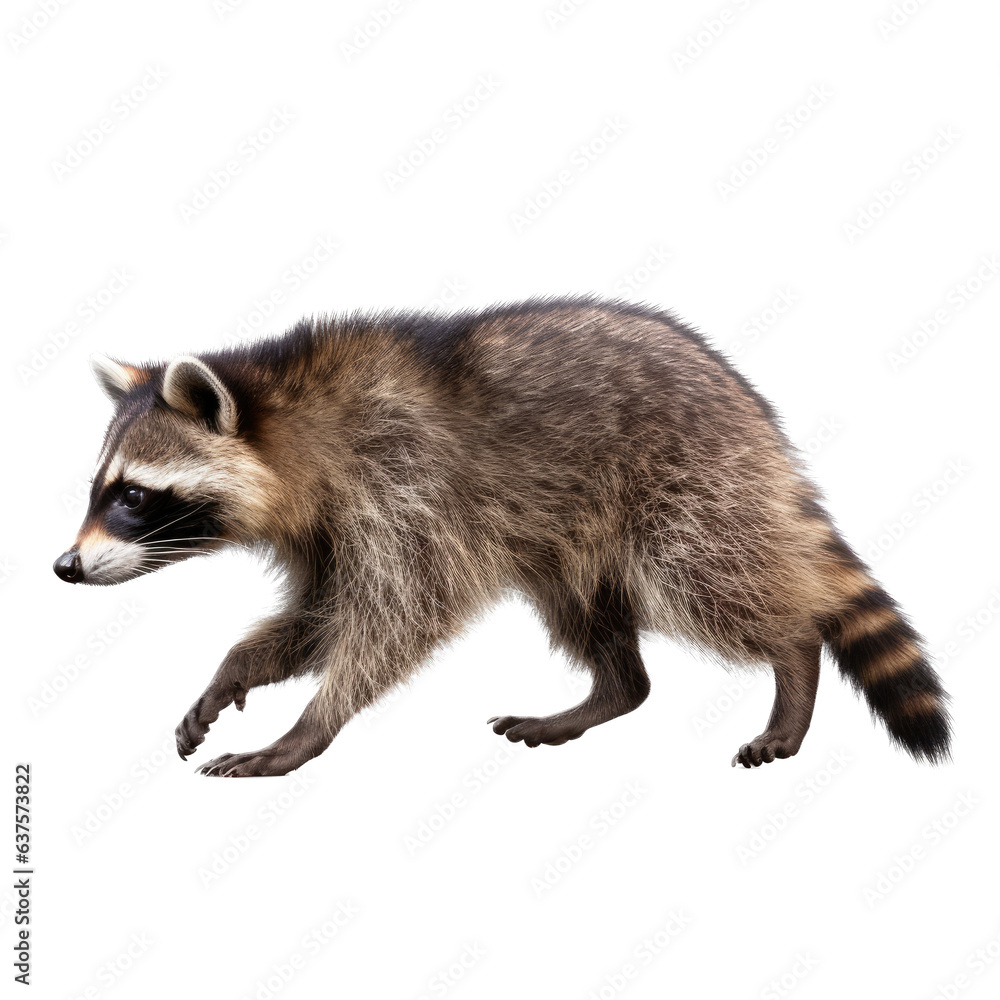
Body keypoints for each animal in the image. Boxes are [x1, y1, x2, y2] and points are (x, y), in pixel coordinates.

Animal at [53, 298, 951, 776]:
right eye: (96, 489)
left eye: (134, 495)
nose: (64, 566)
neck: (295, 414)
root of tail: (754, 414)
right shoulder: (331, 526)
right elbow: (320, 618)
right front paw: (234, 670)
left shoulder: (405, 484)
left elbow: (396, 616)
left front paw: (310, 725)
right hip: (577, 533)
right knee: (589, 614)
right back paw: (610, 691)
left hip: (688, 488)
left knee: (707, 580)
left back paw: (793, 658)